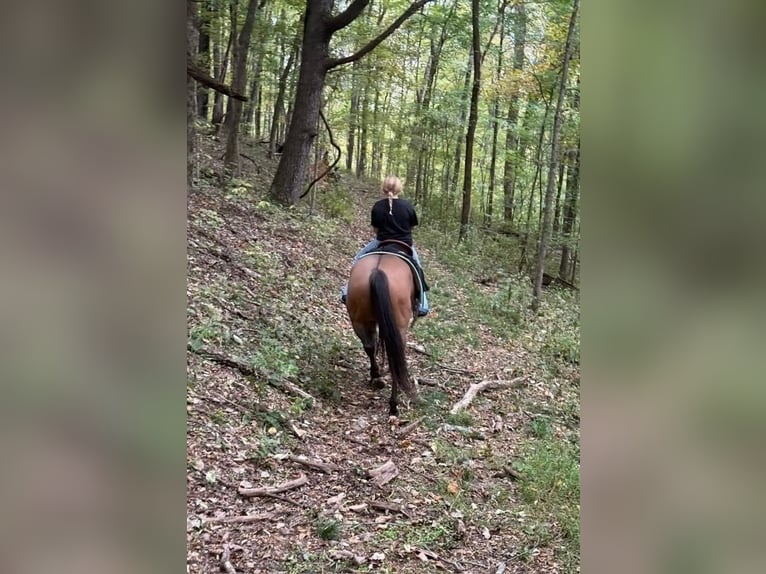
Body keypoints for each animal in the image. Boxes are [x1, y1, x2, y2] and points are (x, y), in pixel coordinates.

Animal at [345, 250, 419, 416]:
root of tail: (377, 272)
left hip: (360, 320)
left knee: (369, 346)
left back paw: (376, 377)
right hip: (398, 327)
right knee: (394, 359)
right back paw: (393, 405)